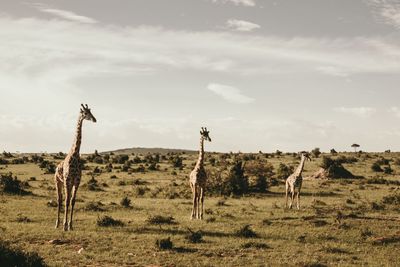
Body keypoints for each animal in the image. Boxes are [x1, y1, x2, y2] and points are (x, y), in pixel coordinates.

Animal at [54, 103, 96, 231]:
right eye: (85, 113)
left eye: (91, 112)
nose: (95, 119)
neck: (75, 154)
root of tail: (56, 168)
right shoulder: (68, 180)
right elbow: (67, 201)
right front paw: (64, 225)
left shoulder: (76, 181)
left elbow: (72, 201)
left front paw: (71, 225)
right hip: (58, 182)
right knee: (59, 200)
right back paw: (57, 224)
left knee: (64, 199)